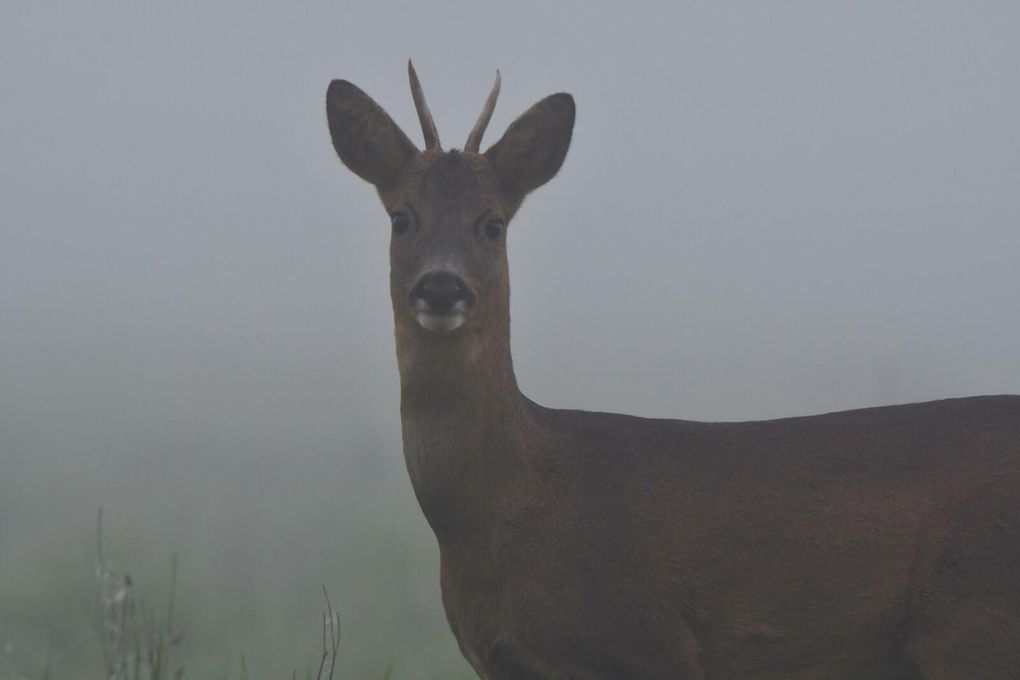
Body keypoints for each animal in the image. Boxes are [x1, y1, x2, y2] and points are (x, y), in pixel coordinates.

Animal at [324, 61, 1020, 676]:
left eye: (492, 223)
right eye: (400, 217)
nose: (442, 287)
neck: (511, 505)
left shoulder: (651, 638)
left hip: (975, 614)